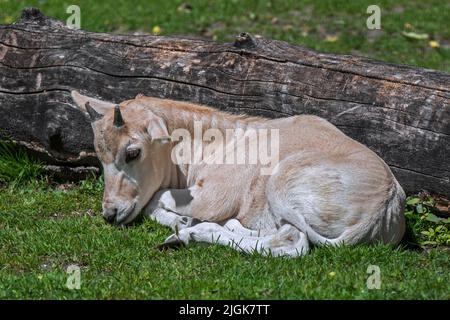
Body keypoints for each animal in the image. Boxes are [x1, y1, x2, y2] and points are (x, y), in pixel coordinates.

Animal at [71, 90, 408, 258]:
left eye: (133, 152)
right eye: (100, 154)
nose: (111, 213)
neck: (220, 140)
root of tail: (384, 205)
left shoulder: (211, 197)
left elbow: (155, 199)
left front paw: (184, 221)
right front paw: (184, 221)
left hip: (281, 184)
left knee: (293, 243)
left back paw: (188, 234)